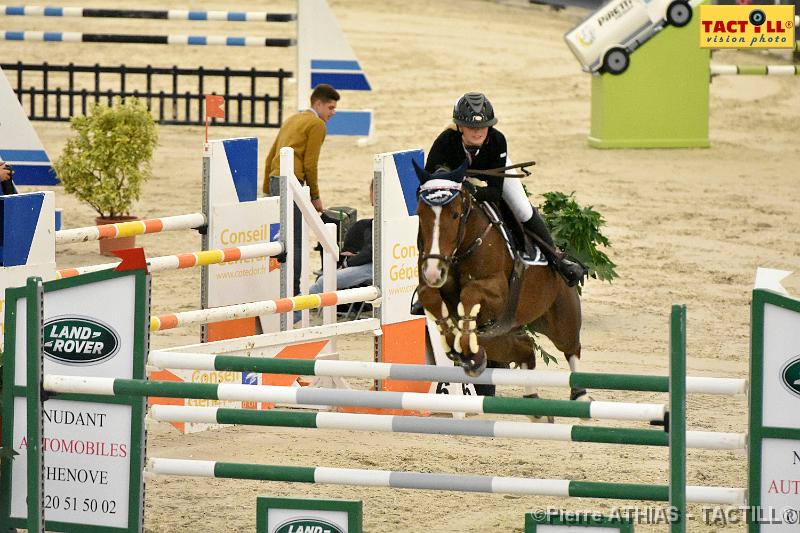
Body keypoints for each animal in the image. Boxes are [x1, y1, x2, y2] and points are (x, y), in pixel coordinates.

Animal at [412, 160, 588, 402]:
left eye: (455, 215)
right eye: (420, 214)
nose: (433, 272)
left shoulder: (498, 292)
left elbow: (470, 294)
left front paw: (465, 348)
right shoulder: (429, 285)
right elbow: (430, 296)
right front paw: (456, 345)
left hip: (560, 320)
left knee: (571, 349)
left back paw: (580, 396)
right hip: (500, 335)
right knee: (525, 348)